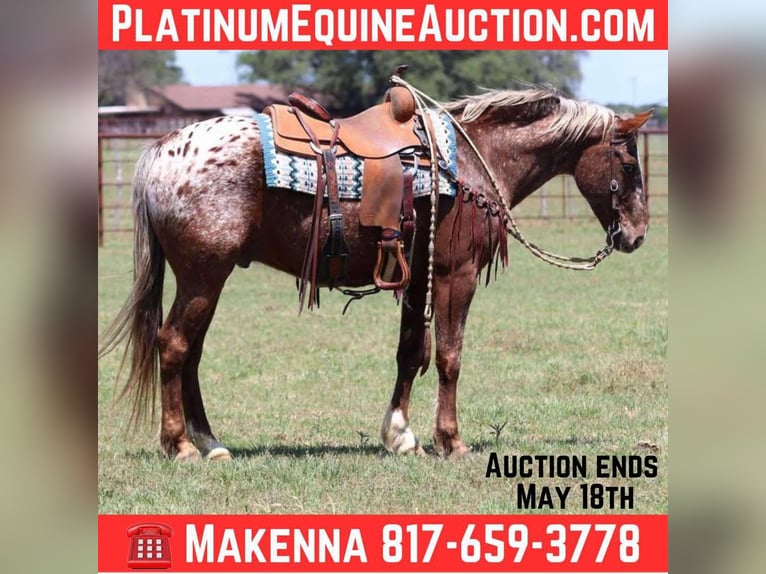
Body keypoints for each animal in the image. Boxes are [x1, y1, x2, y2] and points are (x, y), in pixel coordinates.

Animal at [99, 86, 651, 461]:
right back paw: (180, 446)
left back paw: (210, 442)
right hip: (203, 277)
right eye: (629, 167)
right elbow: (449, 357)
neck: (473, 162)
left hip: (206, 280)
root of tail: (162, 149)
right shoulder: (456, 276)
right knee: (173, 345)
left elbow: (410, 353)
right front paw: (451, 441)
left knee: (189, 354)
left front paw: (401, 435)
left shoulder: (416, 278)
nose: (638, 234)